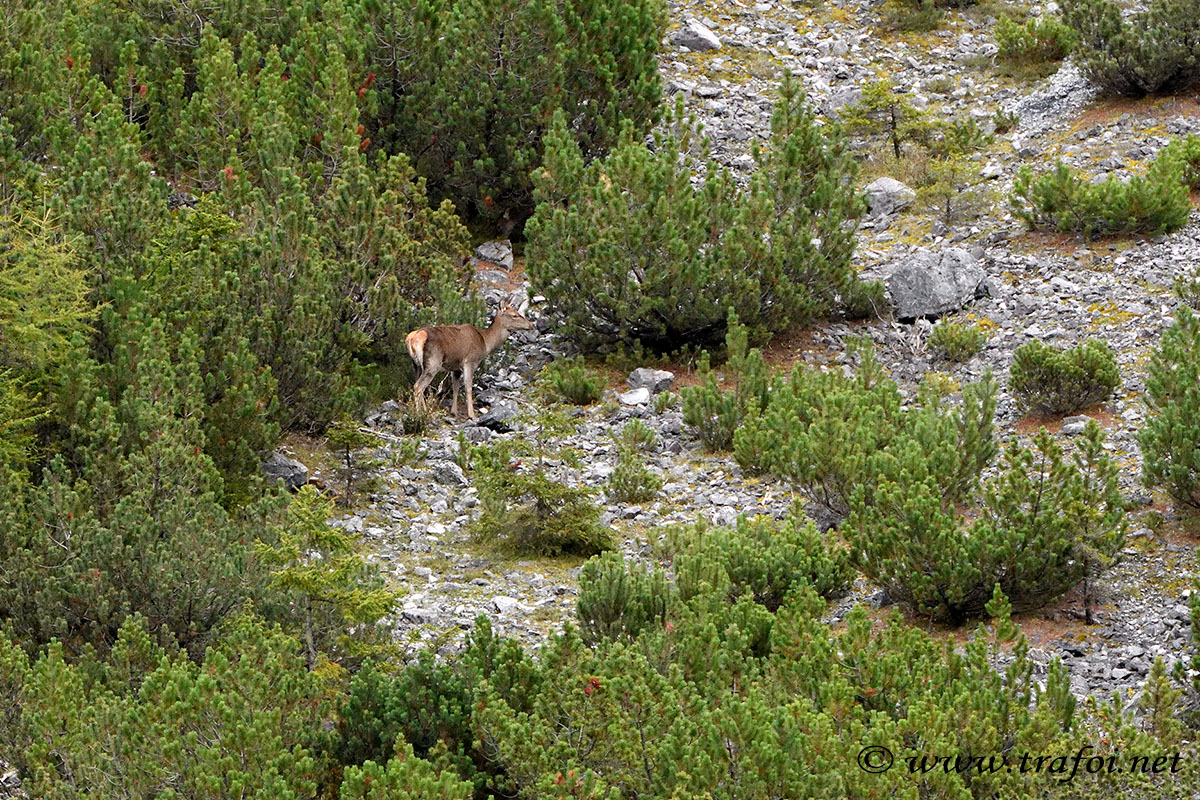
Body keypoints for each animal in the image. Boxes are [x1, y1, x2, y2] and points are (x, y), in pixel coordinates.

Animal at [405, 305, 537, 420]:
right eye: (514, 315)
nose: (531, 324)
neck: (485, 343)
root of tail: (411, 339)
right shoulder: (470, 361)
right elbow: (468, 387)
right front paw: (472, 415)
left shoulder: (456, 367)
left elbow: (456, 387)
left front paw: (454, 412)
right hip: (433, 363)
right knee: (418, 386)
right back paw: (418, 414)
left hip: (416, 365)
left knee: (419, 385)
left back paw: (424, 410)